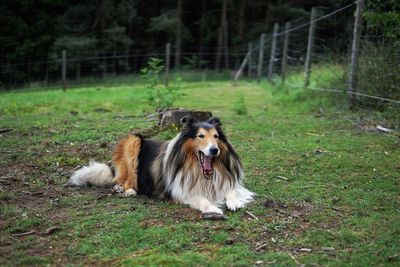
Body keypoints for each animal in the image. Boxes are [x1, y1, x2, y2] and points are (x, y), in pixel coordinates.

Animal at [69, 116, 255, 216]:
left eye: (216, 137)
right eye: (201, 136)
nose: (214, 150)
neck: (196, 168)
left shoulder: (227, 182)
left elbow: (231, 190)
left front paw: (234, 202)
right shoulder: (179, 190)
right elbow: (199, 198)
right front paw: (213, 208)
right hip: (133, 141)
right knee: (122, 179)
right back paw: (126, 190)